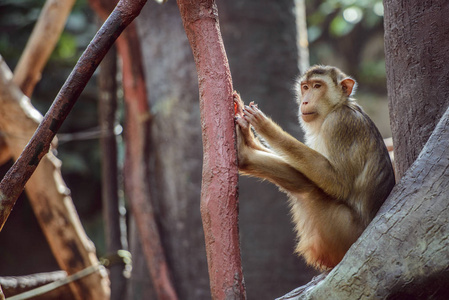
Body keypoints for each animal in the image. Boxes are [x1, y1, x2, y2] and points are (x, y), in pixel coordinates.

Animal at [233, 65, 394, 270]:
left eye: (318, 86)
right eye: (305, 87)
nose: (305, 101)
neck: (337, 107)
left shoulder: (338, 124)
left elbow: (338, 184)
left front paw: (266, 127)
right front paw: (248, 134)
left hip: (344, 233)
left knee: (311, 191)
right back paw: (244, 153)